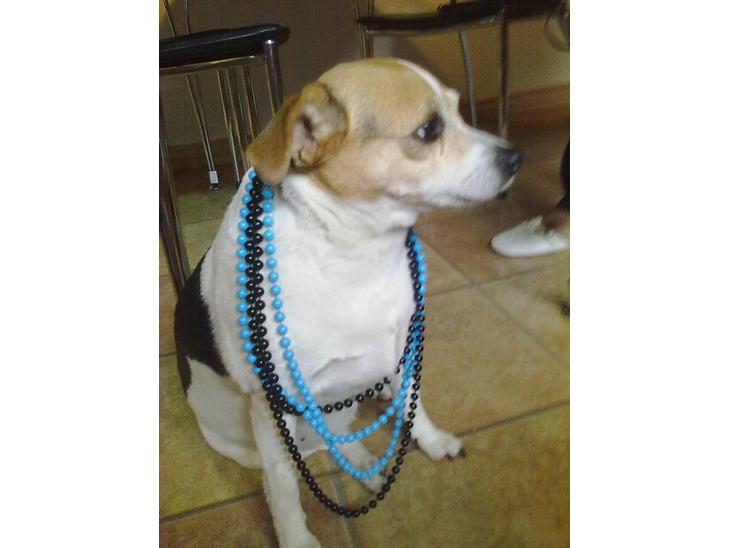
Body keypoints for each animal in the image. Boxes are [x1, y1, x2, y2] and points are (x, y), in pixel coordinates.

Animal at [174, 58, 521, 547]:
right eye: (429, 129)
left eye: (458, 110)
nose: (516, 157)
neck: (356, 249)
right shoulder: (272, 409)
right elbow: (284, 488)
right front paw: (297, 539)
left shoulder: (401, 350)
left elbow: (415, 404)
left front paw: (432, 439)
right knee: (310, 451)